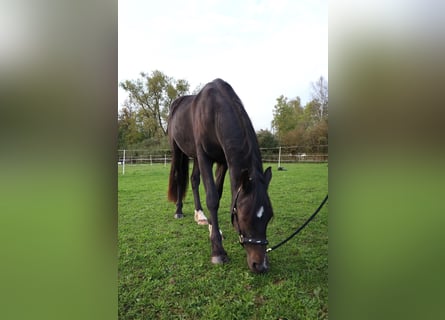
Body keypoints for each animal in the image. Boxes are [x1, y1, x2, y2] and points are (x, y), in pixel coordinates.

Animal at [166, 79, 272, 274]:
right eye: (244, 217)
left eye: (269, 216)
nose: (260, 265)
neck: (214, 111)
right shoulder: (205, 157)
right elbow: (212, 198)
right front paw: (218, 252)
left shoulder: (223, 161)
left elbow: (218, 192)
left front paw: (213, 229)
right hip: (178, 151)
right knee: (179, 178)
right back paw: (179, 211)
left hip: (195, 157)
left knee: (194, 180)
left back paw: (200, 216)